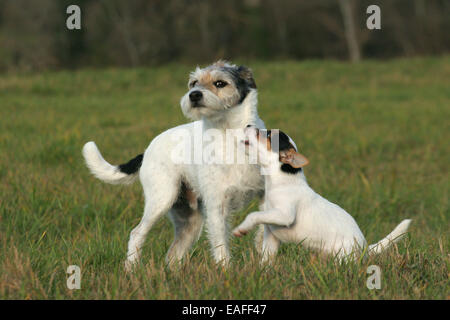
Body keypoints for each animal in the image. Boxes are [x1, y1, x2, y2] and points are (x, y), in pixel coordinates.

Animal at [82, 60, 266, 270]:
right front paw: (226, 271)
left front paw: (264, 259)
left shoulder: (266, 194)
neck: (229, 135)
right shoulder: (216, 206)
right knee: (137, 233)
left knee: (173, 254)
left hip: (189, 221)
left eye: (220, 83)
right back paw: (131, 269)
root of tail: (147, 150)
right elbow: (220, 246)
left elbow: (264, 228)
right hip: (161, 200)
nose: (194, 95)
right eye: (194, 83)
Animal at [232, 127, 412, 262]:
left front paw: (242, 228)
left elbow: (253, 215)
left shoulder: (284, 215)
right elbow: (266, 258)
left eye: (268, 134)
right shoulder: (271, 234)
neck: (282, 181)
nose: (248, 125)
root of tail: (364, 249)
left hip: (343, 256)